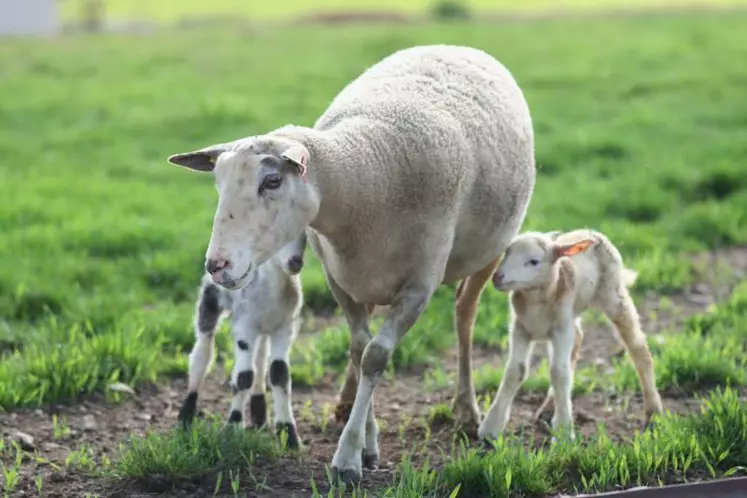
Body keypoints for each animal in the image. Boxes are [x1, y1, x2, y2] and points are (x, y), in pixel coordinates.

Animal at [178, 235, 306, 450]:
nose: (295, 262)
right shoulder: (245, 325)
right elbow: (244, 376)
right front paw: (233, 428)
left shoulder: (286, 327)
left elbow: (280, 373)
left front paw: (289, 435)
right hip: (211, 299)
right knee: (202, 354)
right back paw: (185, 417)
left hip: (263, 328)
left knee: (260, 359)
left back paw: (259, 416)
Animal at [486, 228, 668, 442]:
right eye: (506, 253)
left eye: (533, 261)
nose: (497, 276)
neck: (537, 301)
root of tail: (591, 231)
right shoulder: (520, 327)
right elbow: (516, 371)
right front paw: (491, 426)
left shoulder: (561, 329)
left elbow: (559, 373)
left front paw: (564, 432)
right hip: (572, 313)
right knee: (579, 339)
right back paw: (549, 408)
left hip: (613, 295)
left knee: (638, 347)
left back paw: (654, 412)